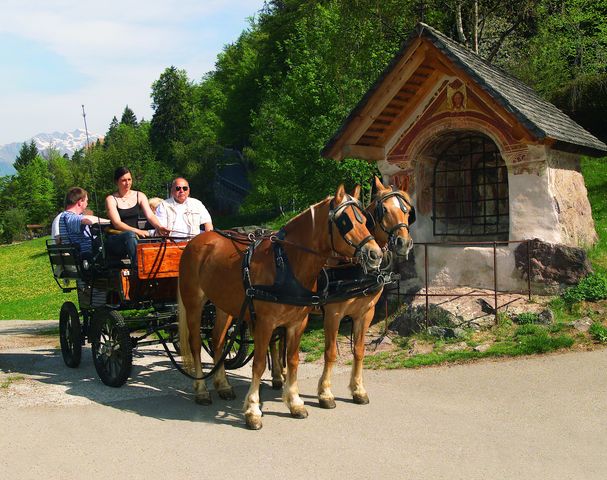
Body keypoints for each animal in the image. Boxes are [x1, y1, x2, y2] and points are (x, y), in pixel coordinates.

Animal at [178, 183, 382, 428]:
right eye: (345, 222)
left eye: (365, 219)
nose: (375, 254)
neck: (287, 265)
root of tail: (196, 241)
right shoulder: (266, 323)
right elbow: (258, 364)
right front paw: (253, 410)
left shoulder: (298, 322)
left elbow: (293, 360)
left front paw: (294, 402)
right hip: (194, 303)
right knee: (196, 344)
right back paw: (201, 390)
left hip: (224, 306)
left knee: (217, 339)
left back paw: (223, 385)